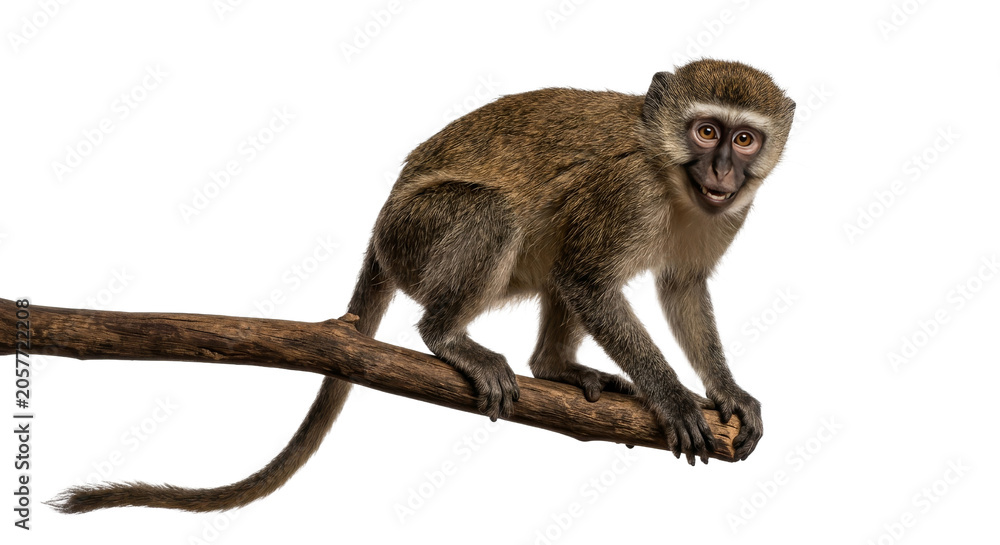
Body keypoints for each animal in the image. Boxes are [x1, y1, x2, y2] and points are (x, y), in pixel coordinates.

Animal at [49, 59, 794, 513]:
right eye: (705, 130)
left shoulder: (729, 213)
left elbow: (682, 286)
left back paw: (554, 366)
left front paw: (725, 391)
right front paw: (672, 397)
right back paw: (447, 338)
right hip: (416, 235)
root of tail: (382, 224)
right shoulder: (625, 190)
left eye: (744, 140)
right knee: (501, 217)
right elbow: (589, 279)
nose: (722, 172)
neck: (673, 178)